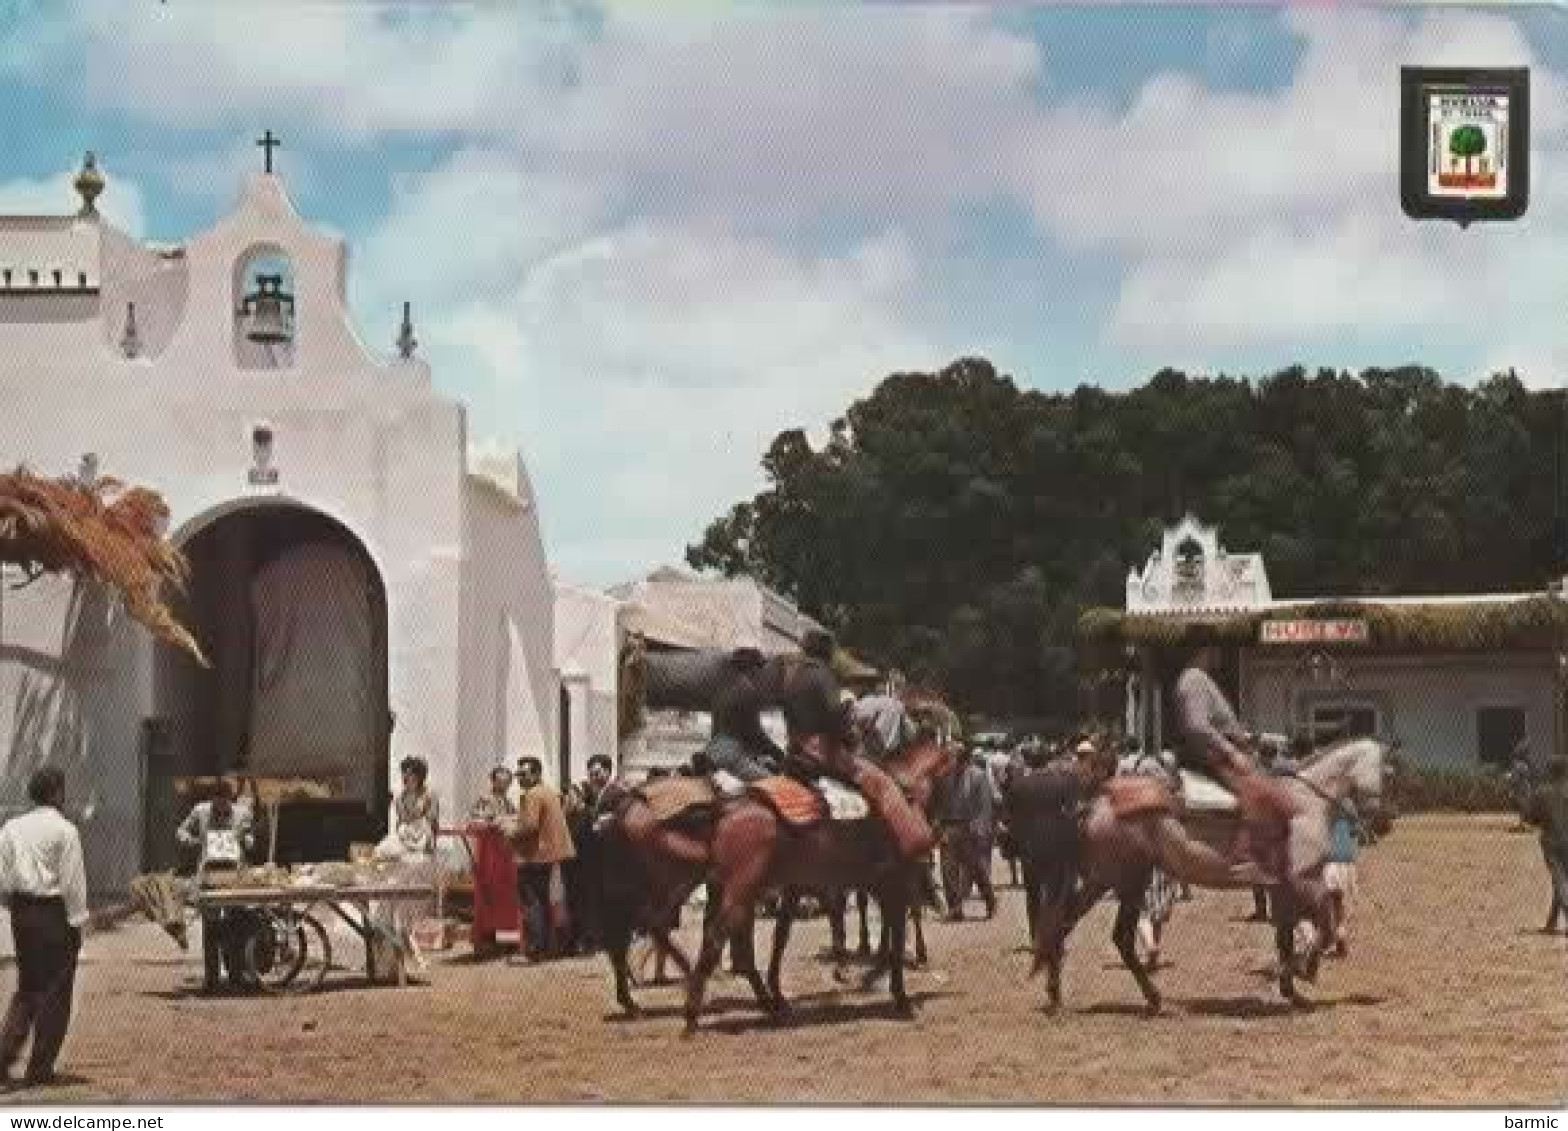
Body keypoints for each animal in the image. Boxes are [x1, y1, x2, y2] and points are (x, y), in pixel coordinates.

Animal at [689, 730, 965, 1035]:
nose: (945, 829)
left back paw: (764, 1004)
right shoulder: (895, 889)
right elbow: (894, 939)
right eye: (957, 777)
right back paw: (696, 1016)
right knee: (719, 940)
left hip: (730, 893)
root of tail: (725, 810)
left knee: (727, 942)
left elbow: (786, 935)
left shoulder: (866, 890)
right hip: (739, 894)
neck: (900, 805)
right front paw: (898, 994)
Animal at [1016, 737, 1398, 1010]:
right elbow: (1325, 925)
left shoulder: (1282, 888)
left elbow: (1287, 938)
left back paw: (1057, 994)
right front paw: (1306, 971)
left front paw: (1293, 988)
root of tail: (1095, 800)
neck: (1303, 803)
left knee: (1064, 924)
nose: (1386, 823)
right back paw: (1154, 999)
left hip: (1101, 879)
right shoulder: (1304, 880)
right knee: (1119, 937)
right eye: (1390, 773)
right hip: (1128, 881)